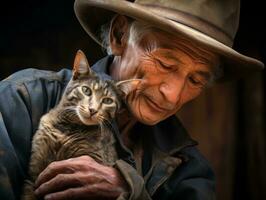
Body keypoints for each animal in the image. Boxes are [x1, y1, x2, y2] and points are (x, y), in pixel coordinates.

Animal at [20, 50, 139, 200]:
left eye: (107, 101)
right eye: (86, 90)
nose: (93, 110)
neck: (68, 128)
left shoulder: (90, 161)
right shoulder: (33, 174)